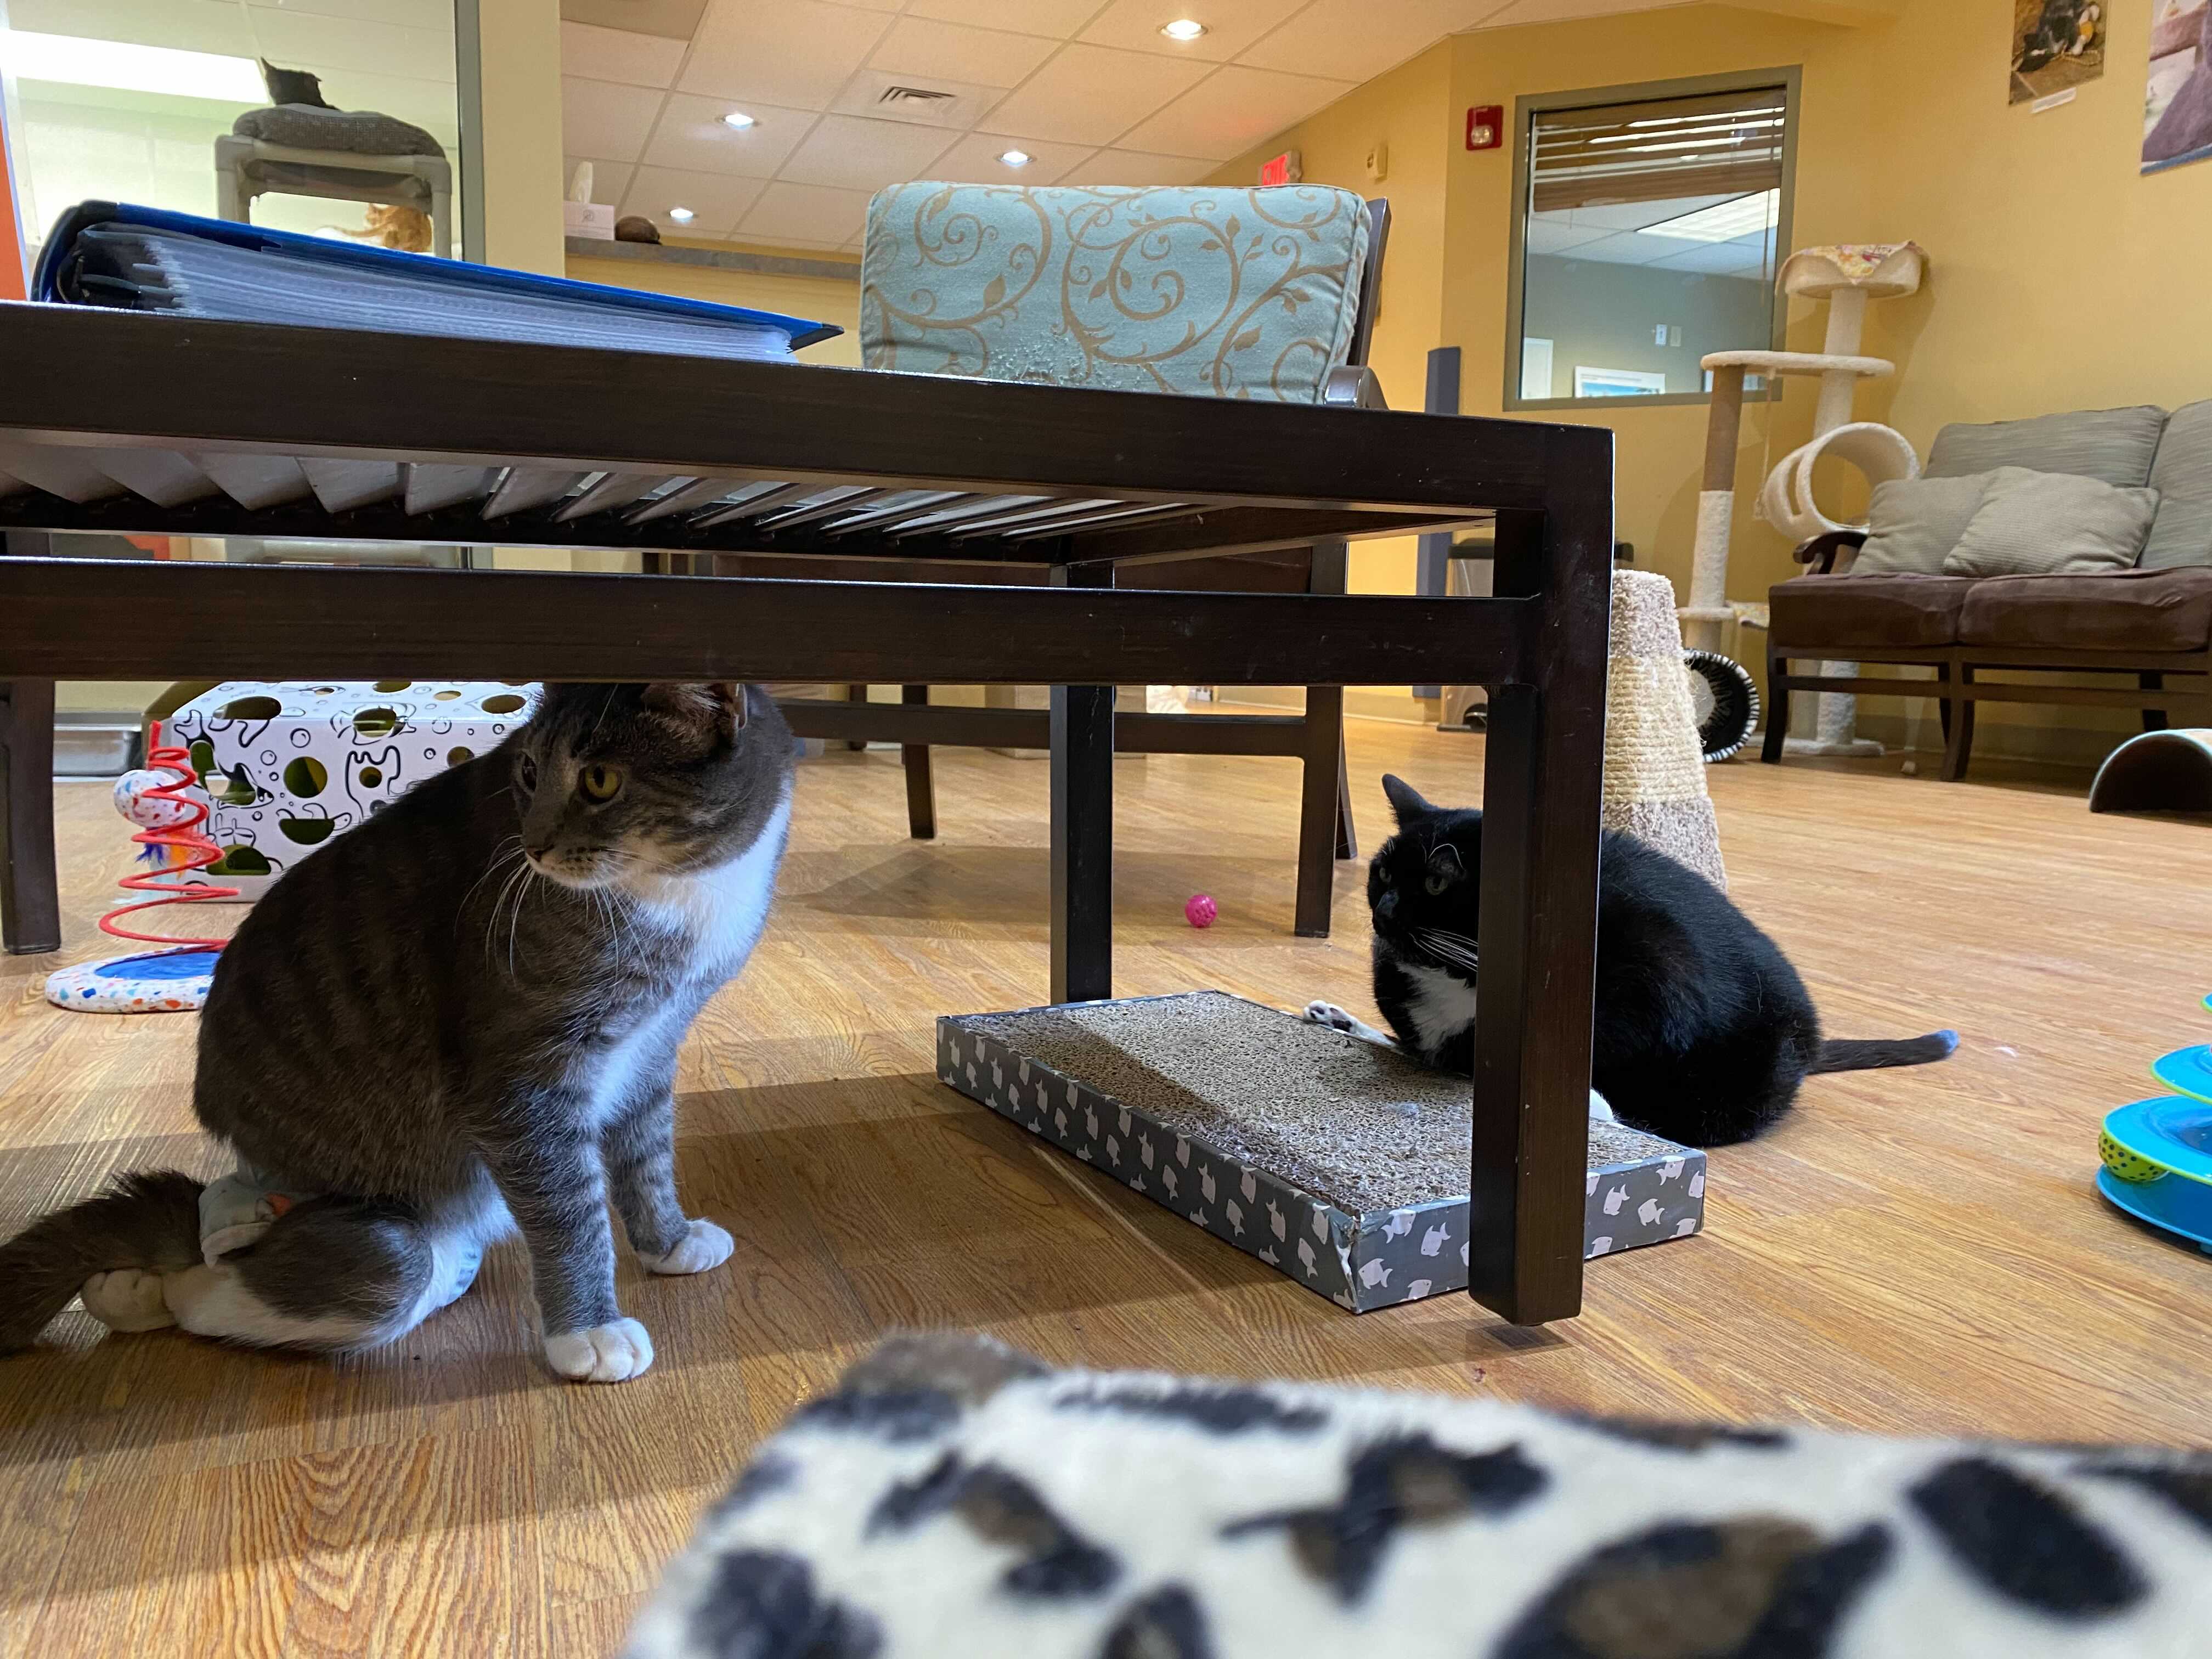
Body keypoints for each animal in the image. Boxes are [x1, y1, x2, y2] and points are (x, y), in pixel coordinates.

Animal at [0, 682, 791, 1384]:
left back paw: (125, 1290)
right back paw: (155, 1287)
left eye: (600, 780)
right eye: (529, 772)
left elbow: (647, 1156)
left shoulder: (650, 1046)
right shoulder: (518, 1082)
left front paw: (670, 1242)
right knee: (280, 1282)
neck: (680, 889)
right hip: (383, 1230)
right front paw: (589, 1334)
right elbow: (570, 1210)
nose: (532, 846)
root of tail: (243, 1189)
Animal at [1304, 775, 1955, 1147]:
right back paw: (1340, 1020)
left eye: (1438, 883)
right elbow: (1426, 1049)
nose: (1384, 910)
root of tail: (1814, 1043)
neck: (1461, 973)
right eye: (1383, 874)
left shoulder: (1657, 965)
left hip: (1745, 1065)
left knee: (1689, 1119)